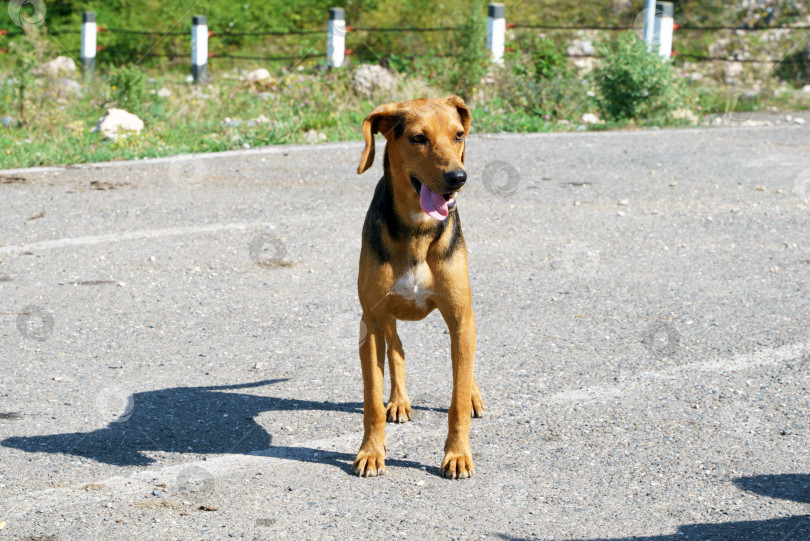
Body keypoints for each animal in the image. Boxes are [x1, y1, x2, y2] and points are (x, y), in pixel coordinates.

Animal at [352, 95, 480, 478]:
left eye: (458, 135)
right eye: (417, 138)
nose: (458, 178)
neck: (418, 229)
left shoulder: (460, 316)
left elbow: (456, 400)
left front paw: (457, 454)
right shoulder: (371, 322)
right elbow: (372, 401)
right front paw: (371, 452)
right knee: (397, 351)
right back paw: (399, 400)